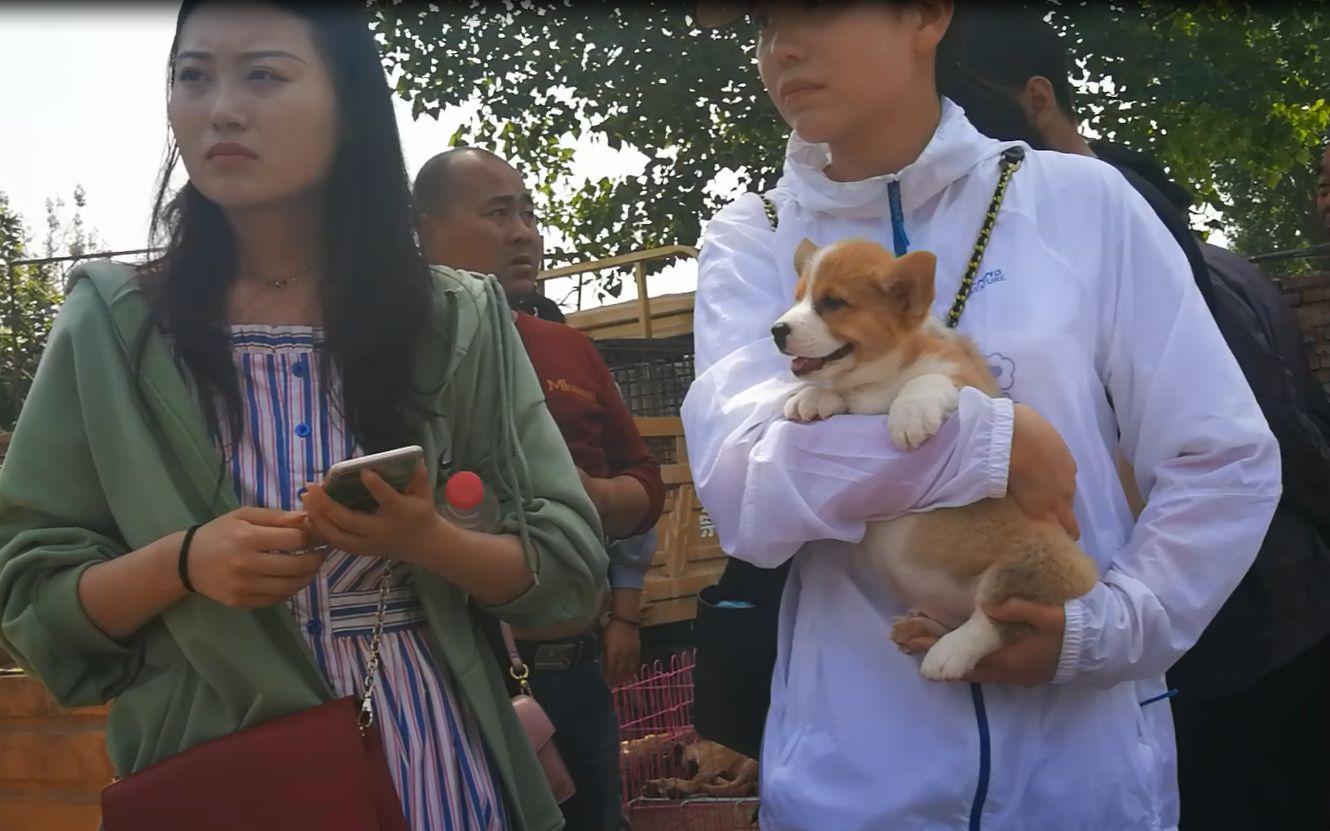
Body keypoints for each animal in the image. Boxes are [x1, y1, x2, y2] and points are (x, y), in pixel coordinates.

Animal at [771, 239, 1090, 680]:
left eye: (832, 302)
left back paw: (950, 652)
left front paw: (911, 413)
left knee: (1000, 617)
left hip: (1036, 557)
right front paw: (812, 398)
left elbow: (929, 379)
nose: (776, 331)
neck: (882, 377)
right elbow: (836, 392)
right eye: (798, 298)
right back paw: (924, 628)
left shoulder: (968, 381)